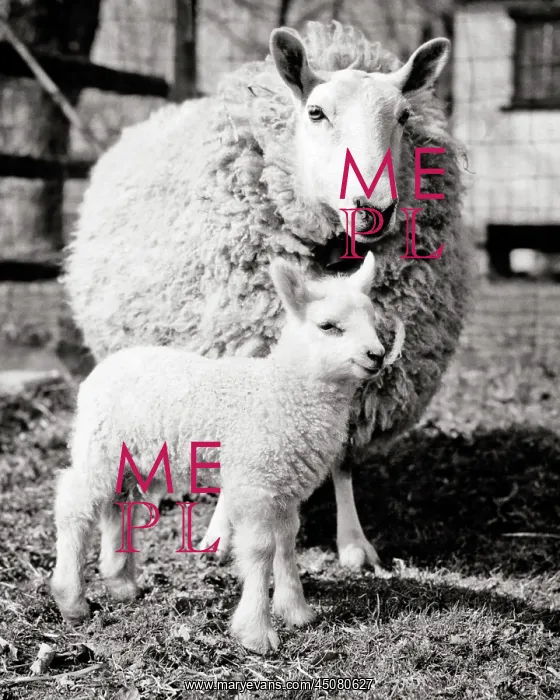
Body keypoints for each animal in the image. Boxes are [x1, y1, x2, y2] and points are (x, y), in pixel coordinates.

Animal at [51, 253, 404, 654]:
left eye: (373, 321)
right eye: (327, 326)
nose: (376, 355)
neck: (284, 390)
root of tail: (107, 365)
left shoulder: (283, 487)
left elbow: (287, 543)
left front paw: (296, 611)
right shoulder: (255, 482)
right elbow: (261, 549)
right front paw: (257, 632)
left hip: (132, 457)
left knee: (118, 503)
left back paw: (120, 581)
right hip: (100, 446)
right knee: (75, 505)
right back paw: (71, 598)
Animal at [64, 21, 471, 571]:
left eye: (404, 116)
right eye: (316, 112)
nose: (374, 209)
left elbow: (343, 460)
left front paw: (353, 541)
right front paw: (219, 535)